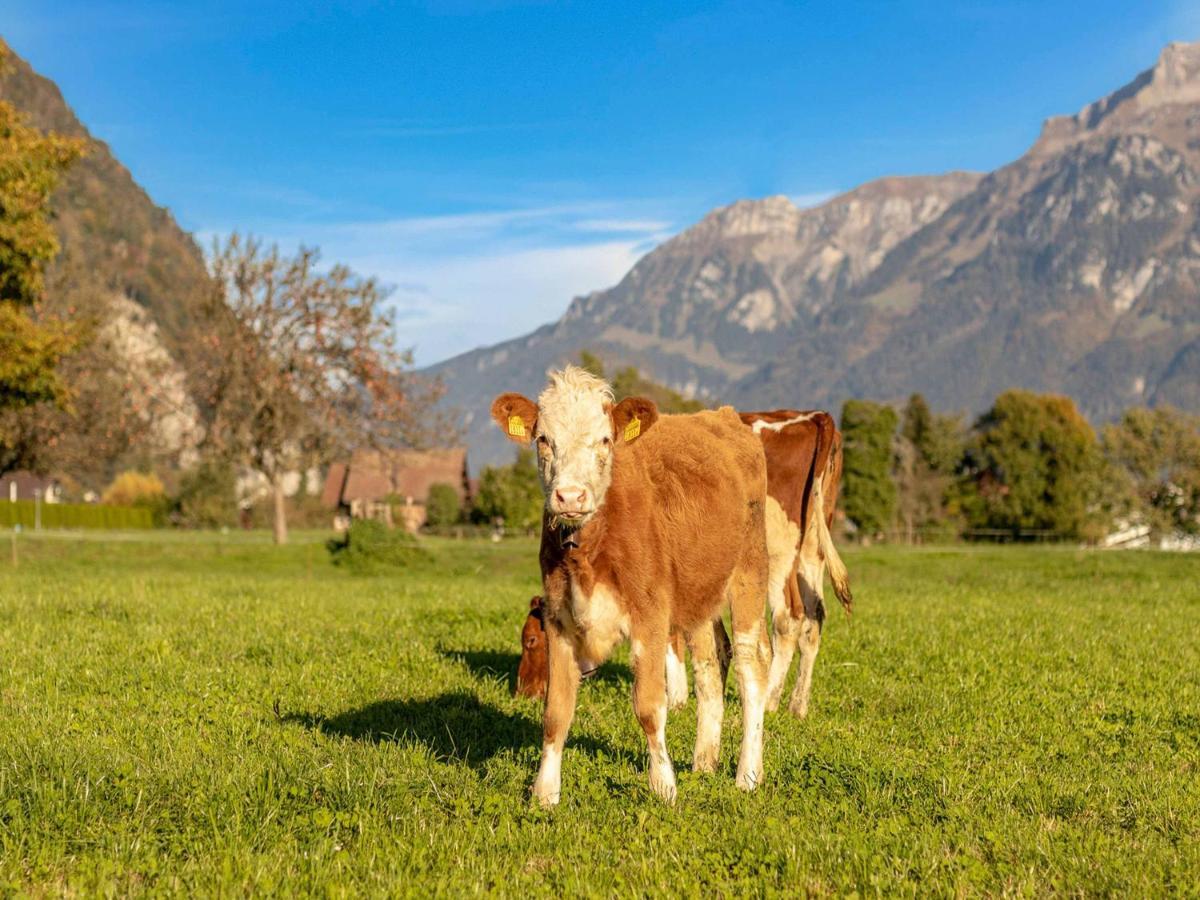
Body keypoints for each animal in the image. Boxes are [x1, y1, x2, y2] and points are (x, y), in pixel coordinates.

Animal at [489, 369, 777, 806]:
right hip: (698, 592)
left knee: (750, 664)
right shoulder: (560, 620)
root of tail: (723, 416)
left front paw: (663, 786)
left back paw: (747, 774)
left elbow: (649, 706)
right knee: (711, 667)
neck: (589, 550)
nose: (570, 496)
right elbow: (556, 713)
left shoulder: (650, 617)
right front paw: (545, 793)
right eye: (543, 439)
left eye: (605, 440)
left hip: (749, 571)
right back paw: (704, 762)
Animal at [739, 415, 854, 720]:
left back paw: (768, 700)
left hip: (778, 551)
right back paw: (797, 704)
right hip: (811, 548)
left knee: (788, 617)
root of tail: (814, 417)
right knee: (815, 616)